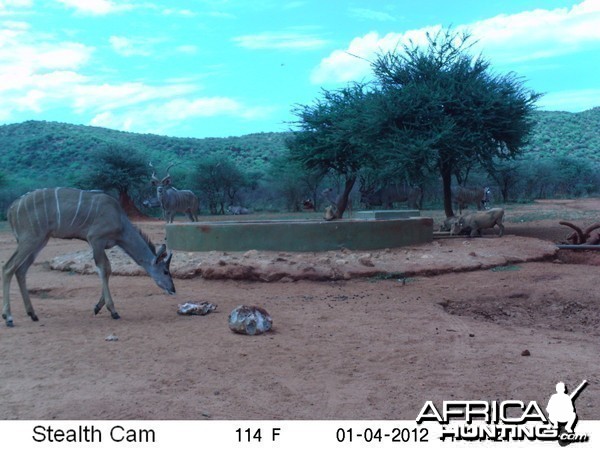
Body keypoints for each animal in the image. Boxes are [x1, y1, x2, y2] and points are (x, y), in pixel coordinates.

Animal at [1, 186, 176, 326]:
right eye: (165, 271)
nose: (173, 290)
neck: (119, 219)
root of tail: (11, 209)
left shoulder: (101, 244)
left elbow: (108, 269)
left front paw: (98, 307)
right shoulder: (96, 239)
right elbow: (104, 268)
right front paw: (113, 310)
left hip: (40, 241)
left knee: (21, 270)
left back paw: (32, 314)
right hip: (30, 239)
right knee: (8, 267)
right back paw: (8, 317)